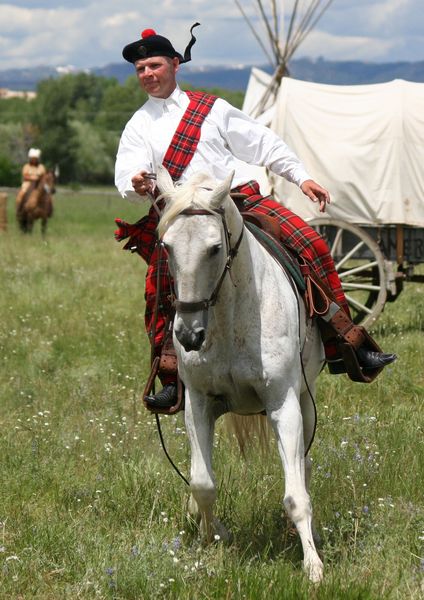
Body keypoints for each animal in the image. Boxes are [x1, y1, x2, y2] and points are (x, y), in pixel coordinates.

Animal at [157, 165, 326, 580]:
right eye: (167, 246)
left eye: (214, 248)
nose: (188, 335)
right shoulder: (198, 404)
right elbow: (202, 483)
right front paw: (211, 536)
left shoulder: (283, 404)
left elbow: (296, 495)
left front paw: (313, 566)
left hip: (306, 400)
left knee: (304, 464)